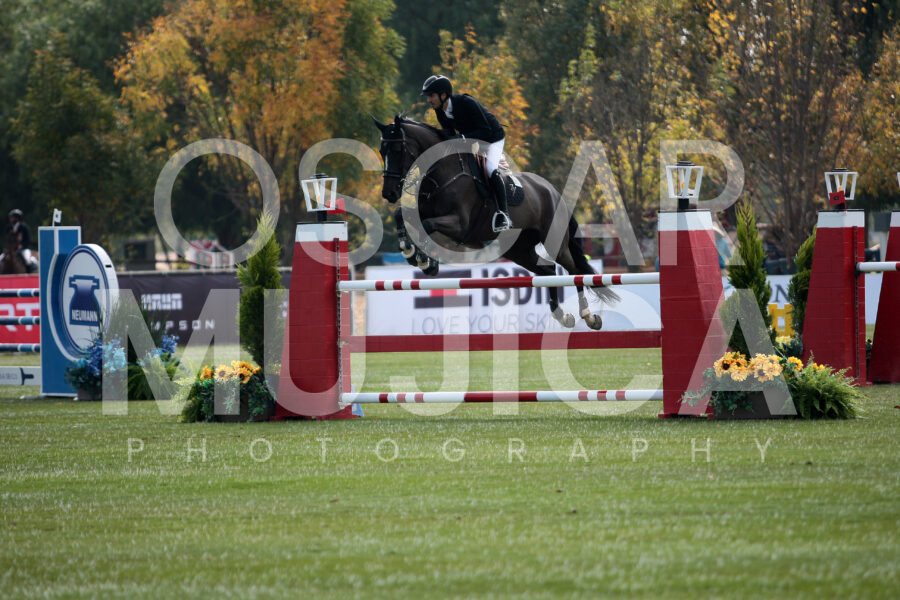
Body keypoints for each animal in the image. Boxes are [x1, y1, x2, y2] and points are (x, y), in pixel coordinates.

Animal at [373, 114, 618, 330]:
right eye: (382, 151)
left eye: (397, 150)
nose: (389, 193)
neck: (440, 173)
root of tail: (553, 192)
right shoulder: (424, 212)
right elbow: (401, 215)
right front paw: (410, 250)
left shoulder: (459, 224)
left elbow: (428, 227)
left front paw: (424, 260)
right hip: (519, 250)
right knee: (548, 270)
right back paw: (562, 316)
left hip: (554, 242)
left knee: (573, 270)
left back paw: (589, 317)